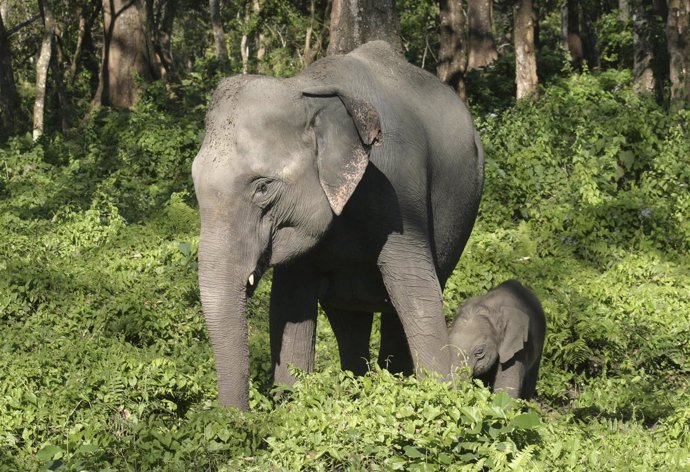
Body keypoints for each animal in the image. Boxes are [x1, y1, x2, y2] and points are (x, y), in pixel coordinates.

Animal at [192, 40, 484, 410]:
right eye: (195, 186)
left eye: (262, 188)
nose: (236, 418)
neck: (309, 92)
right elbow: (288, 307)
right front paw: (292, 406)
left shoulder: (402, 193)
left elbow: (417, 295)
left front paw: (441, 398)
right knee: (349, 318)